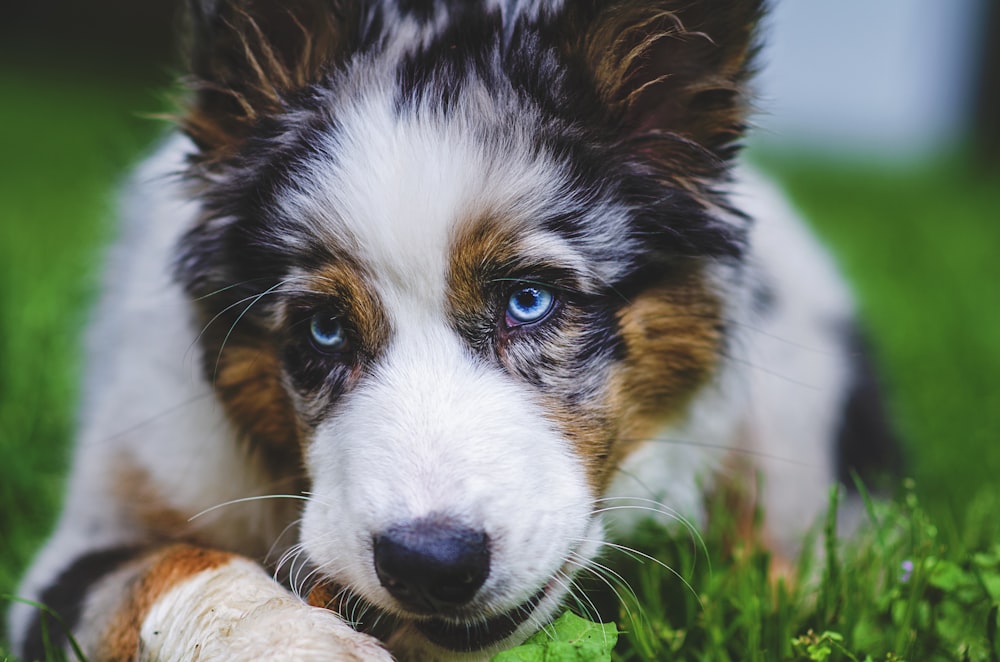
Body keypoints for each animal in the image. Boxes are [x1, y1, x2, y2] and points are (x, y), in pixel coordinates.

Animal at [7, 2, 900, 660]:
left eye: (529, 302)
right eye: (324, 329)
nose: (430, 567)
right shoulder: (92, 531)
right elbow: (174, 566)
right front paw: (298, 641)